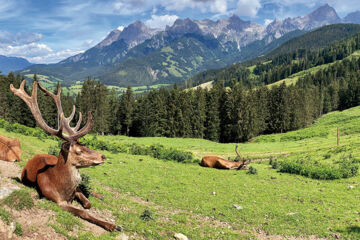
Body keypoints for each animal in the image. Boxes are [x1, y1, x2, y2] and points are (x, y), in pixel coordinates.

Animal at [10, 80, 122, 232]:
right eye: (79, 151)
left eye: (85, 145)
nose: (103, 156)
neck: (64, 189)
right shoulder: (58, 201)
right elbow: (84, 212)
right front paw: (113, 226)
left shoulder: (76, 190)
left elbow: (88, 202)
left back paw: (100, 195)